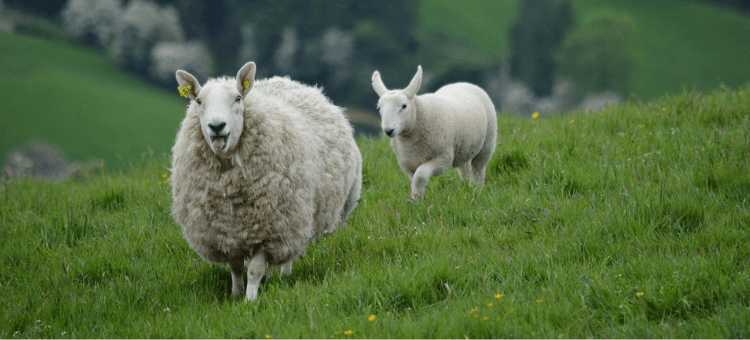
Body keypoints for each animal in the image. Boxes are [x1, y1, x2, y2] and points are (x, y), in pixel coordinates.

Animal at [174, 62, 368, 302]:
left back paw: (282, 275)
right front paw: (236, 295)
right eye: (199, 101)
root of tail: (290, 82)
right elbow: (236, 267)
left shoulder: (271, 230)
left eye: (238, 98)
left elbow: (254, 269)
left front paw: (250, 300)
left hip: (302, 216)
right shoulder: (226, 233)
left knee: (290, 251)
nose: (217, 126)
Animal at [372, 64, 500, 199]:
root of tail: (463, 82)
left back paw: (477, 189)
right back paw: (467, 188)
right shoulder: (408, 164)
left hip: (487, 143)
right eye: (379, 108)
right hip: (463, 147)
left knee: (478, 168)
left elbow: (420, 176)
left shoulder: (443, 158)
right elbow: (415, 180)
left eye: (404, 106)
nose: (388, 130)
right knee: (465, 168)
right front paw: (417, 198)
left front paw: (416, 199)